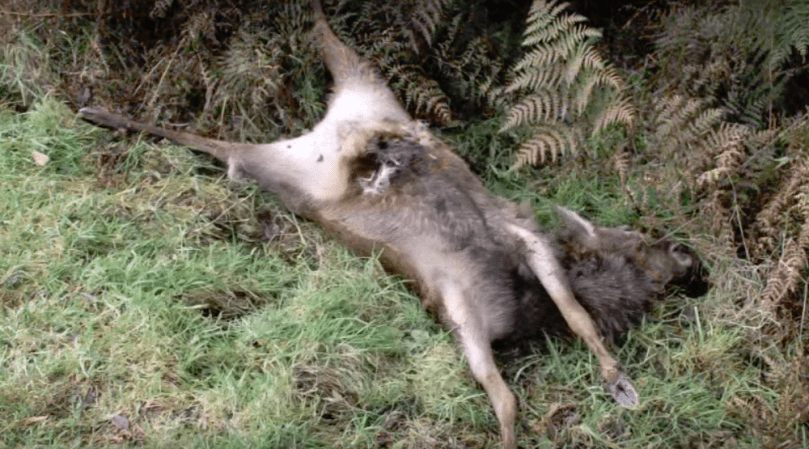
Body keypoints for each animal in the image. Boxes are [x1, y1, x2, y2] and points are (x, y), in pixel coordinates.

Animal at [77, 1, 707, 447]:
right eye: (643, 238)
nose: (693, 258)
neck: (525, 306)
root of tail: (332, 128)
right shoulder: (469, 290)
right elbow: (511, 389)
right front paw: (606, 383)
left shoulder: (504, 262)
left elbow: (567, 328)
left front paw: (614, 377)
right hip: (293, 164)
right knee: (205, 139)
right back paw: (98, 111)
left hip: (354, 100)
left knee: (312, 59)